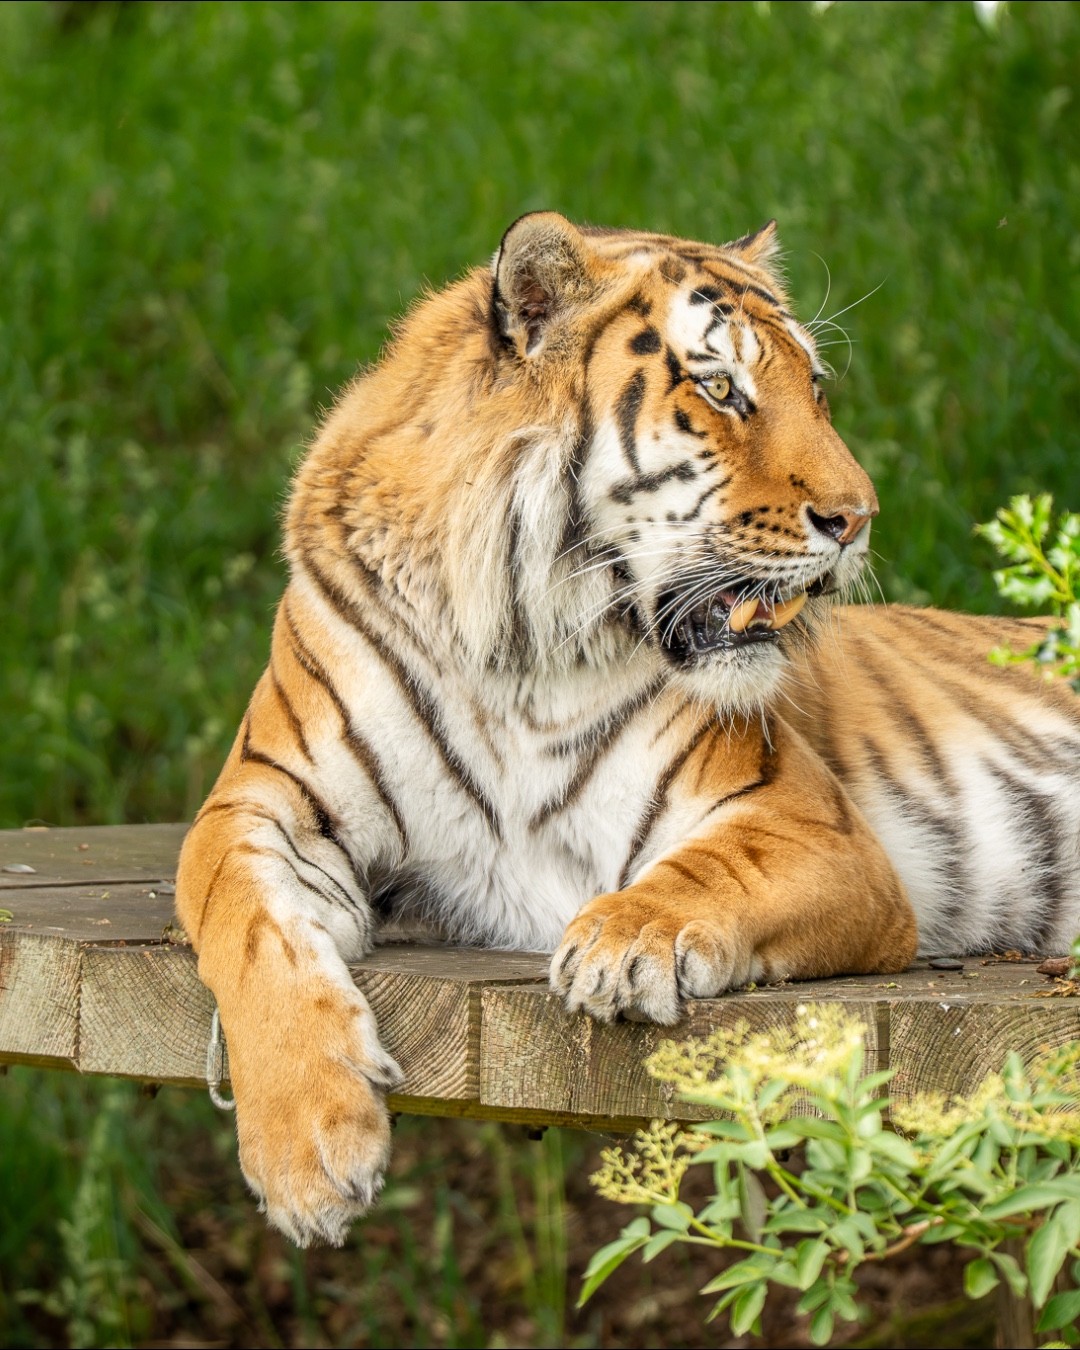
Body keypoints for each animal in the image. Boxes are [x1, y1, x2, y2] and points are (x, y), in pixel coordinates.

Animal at [176, 211, 1080, 1247]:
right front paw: (309, 1151)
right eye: (720, 388)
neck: (517, 654)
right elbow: (245, 925)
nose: (858, 519)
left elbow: (708, 870)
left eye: (814, 388)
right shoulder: (262, 802)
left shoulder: (808, 821)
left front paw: (624, 942)